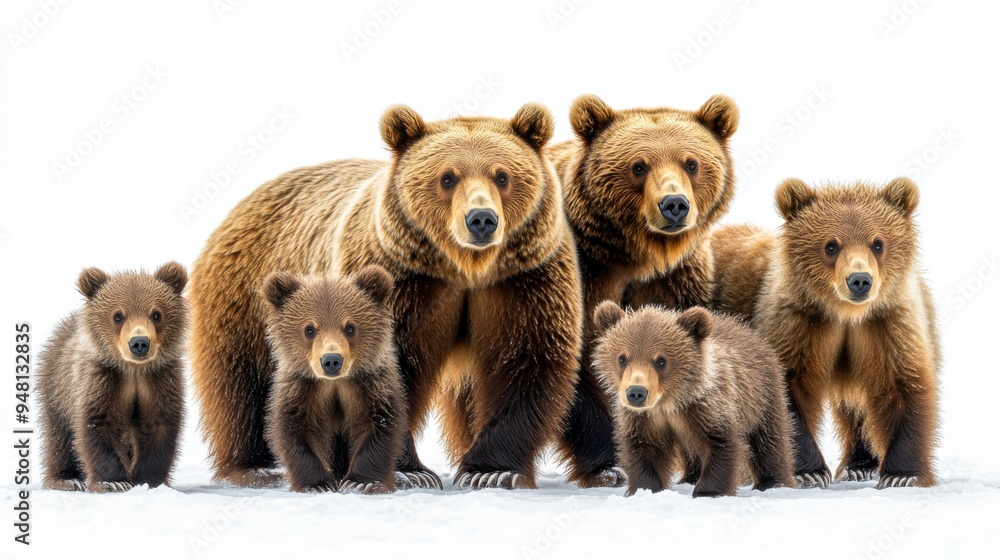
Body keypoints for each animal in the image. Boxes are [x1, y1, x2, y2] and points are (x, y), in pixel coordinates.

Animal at [37, 262, 189, 492]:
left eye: (156, 314)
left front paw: (148, 480)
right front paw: (113, 482)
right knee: (60, 437)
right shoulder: (102, 380)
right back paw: (67, 479)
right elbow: (97, 424)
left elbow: (159, 424)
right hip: (57, 388)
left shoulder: (159, 380)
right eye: (118, 315)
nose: (139, 343)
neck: (133, 371)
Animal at [261, 267, 407, 494]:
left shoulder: (370, 386)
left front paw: (361, 481)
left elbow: (379, 426)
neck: (334, 383)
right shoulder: (302, 389)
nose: (331, 360)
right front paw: (317, 484)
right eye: (309, 329)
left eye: (350, 327)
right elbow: (295, 430)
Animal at [545, 94, 739, 487]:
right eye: (638, 166)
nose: (674, 204)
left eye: (691, 163)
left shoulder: (674, 281)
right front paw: (609, 467)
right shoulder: (585, 274)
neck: (637, 256)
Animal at [591, 302, 795, 497]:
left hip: (761, 396)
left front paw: (709, 491)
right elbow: (644, 449)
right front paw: (647, 488)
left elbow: (720, 444)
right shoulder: (644, 419)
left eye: (661, 360)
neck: (669, 402)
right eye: (622, 358)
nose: (636, 392)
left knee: (768, 440)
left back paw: (773, 482)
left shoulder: (707, 407)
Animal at [711, 177, 940, 489]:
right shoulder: (797, 323)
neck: (845, 315)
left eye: (878, 243)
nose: (860, 280)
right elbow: (787, 389)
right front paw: (809, 472)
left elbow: (903, 385)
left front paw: (902, 475)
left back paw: (860, 466)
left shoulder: (888, 325)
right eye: (831, 245)